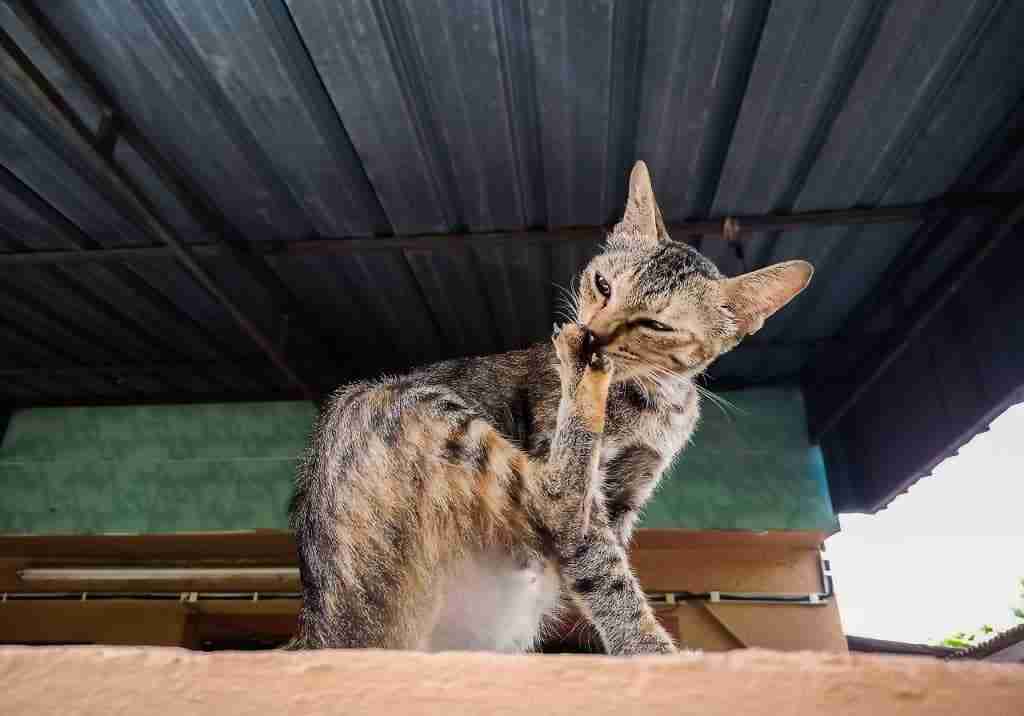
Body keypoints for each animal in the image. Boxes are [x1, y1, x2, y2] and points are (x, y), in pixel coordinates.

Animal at [286, 162, 806, 655]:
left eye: (656, 325)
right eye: (602, 284)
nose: (592, 335)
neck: (655, 401)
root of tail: (321, 622)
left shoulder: (628, 495)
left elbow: (607, 565)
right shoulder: (581, 489)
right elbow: (605, 574)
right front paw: (650, 650)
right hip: (417, 409)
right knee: (552, 497)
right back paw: (580, 377)